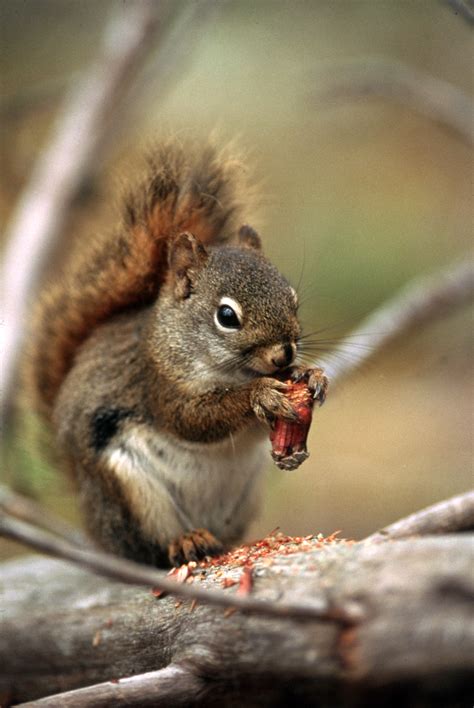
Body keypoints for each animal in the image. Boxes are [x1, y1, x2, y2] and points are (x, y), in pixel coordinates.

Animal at [27, 138, 328, 568]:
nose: (283, 356)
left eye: (294, 300)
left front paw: (314, 378)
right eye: (226, 316)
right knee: (148, 547)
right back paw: (186, 541)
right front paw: (259, 395)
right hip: (128, 491)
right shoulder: (158, 380)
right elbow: (192, 419)